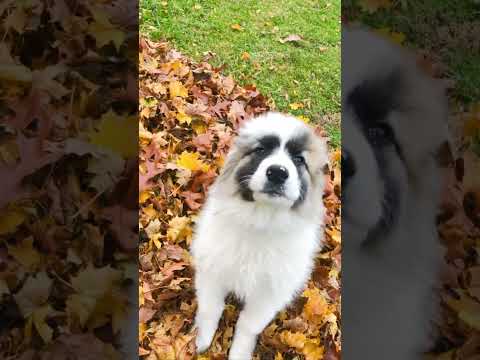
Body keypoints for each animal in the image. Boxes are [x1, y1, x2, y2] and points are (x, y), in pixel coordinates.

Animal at [189, 111, 328, 358]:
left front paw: (239, 353)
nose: (278, 173)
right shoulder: (211, 271)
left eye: (299, 160)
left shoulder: (269, 295)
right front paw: (203, 340)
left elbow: (247, 325)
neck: (262, 221)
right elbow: (210, 308)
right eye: (261, 150)